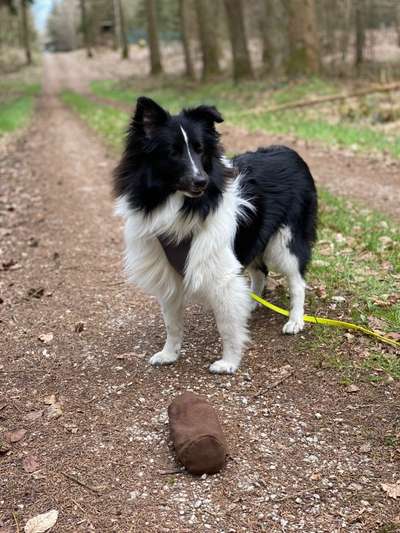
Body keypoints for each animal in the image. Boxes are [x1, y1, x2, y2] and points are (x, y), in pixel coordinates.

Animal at [114, 96, 318, 374]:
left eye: (200, 150)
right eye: (172, 152)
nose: (201, 181)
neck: (181, 204)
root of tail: (291, 152)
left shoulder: (220, 273)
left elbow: (227, 326)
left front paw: (229, 362)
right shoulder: (168, 273)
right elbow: (172, 323)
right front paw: (169, 354)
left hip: (286, 241)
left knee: (296, 281)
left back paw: (295, 320)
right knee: (260, 271)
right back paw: (250, 301)